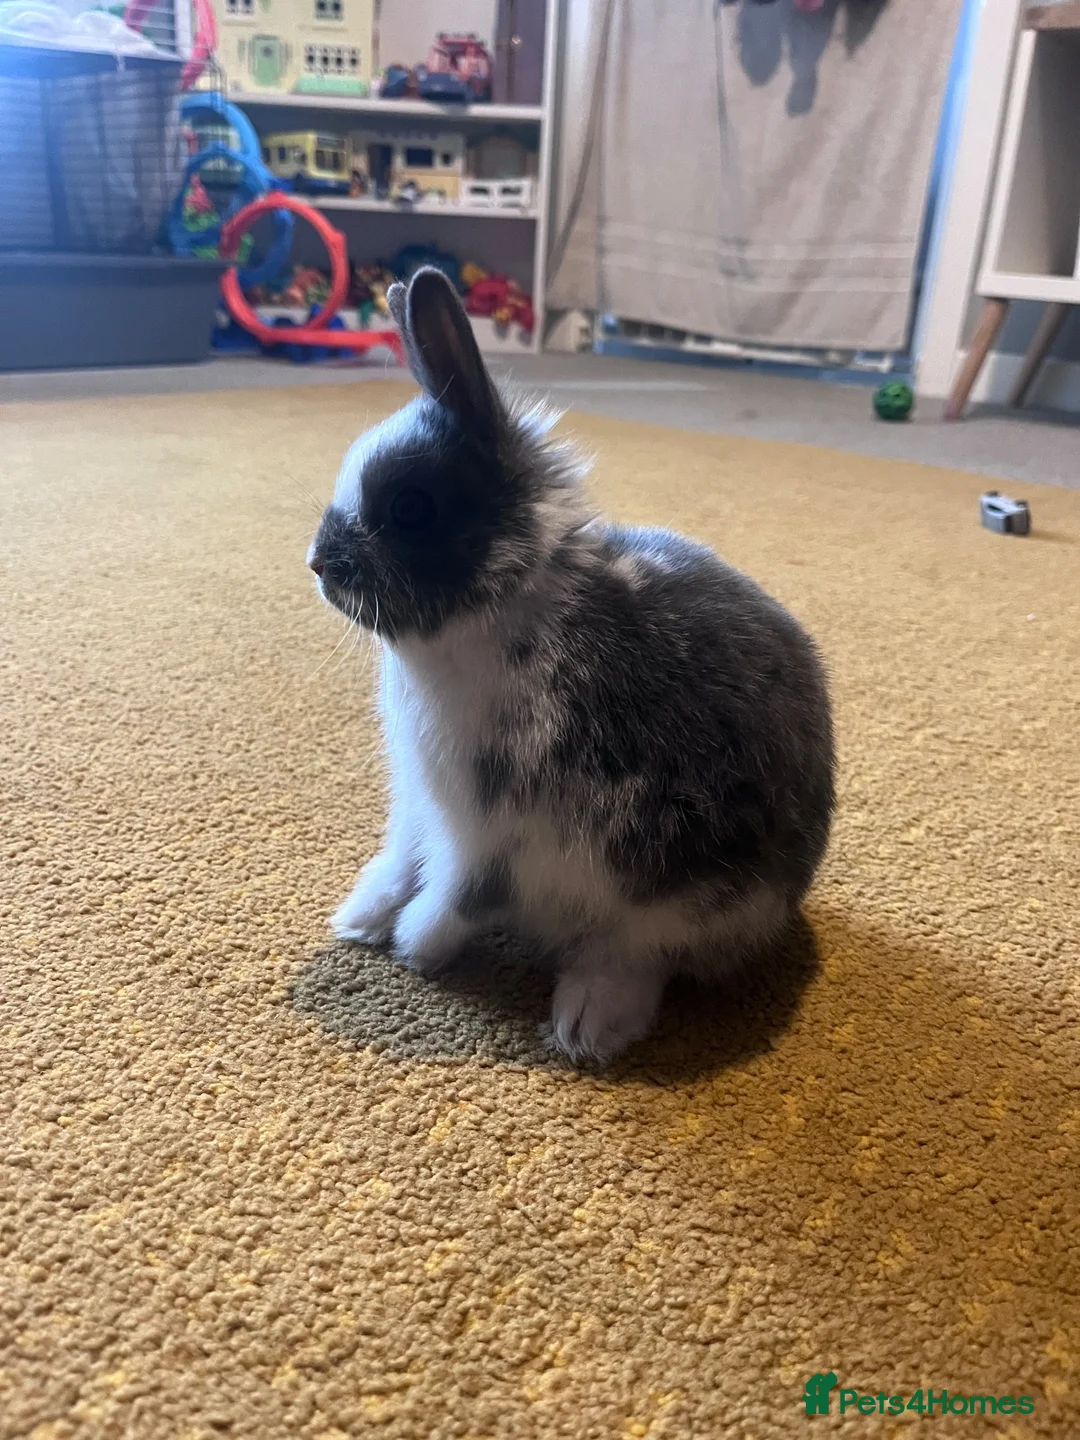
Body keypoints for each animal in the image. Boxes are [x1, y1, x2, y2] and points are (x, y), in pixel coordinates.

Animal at [307, 267, 835, 1064]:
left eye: (411, 507)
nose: (316, 564)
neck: (504, 604)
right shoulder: (421, 802)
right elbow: (402, 861)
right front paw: (361, 919)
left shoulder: (492, 828)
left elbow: (460, 894)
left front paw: (415, 948)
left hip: (677, 899)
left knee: (635, 955)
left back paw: (586, 1027)